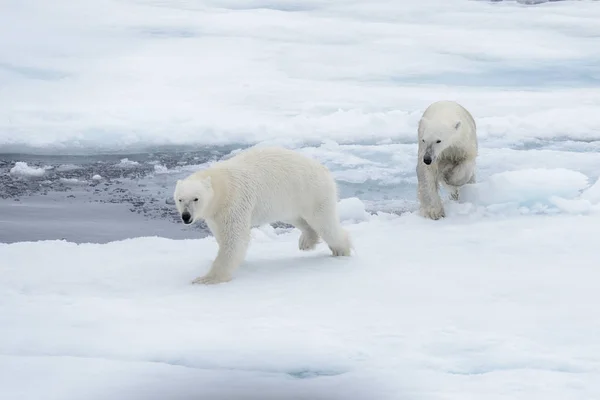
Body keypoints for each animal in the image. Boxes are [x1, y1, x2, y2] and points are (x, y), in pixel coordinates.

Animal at [172, 146, 352, 284]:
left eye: (196, 198)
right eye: (180, 199)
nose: (186, 216)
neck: (222, 185)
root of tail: (325, 169)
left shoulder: (234, 201)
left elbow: (235, 238)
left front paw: (207, 278)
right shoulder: (215, 213)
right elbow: (221, 234)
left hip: (312, 192)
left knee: (324, 222)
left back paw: (341, 250)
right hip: (289, 199)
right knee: (298, 218)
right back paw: (307, 241)